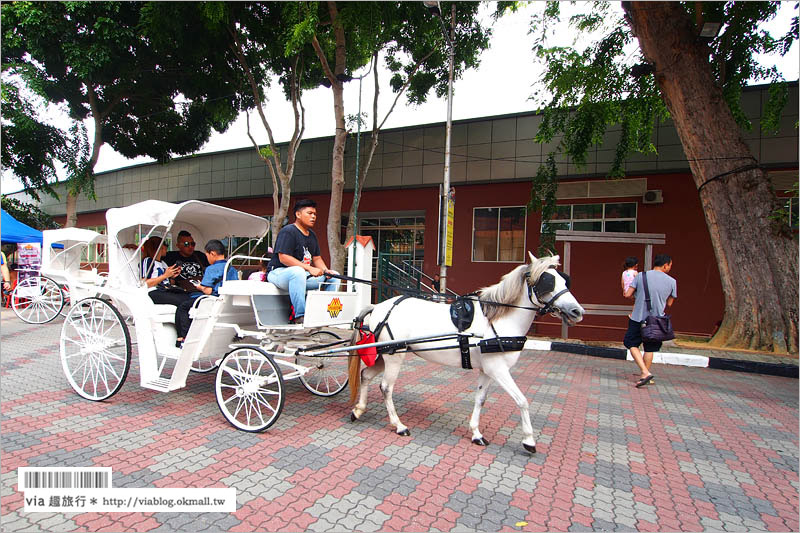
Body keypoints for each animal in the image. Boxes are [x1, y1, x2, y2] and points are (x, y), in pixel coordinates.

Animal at [346, 252, 584, 454]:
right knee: (386, 387)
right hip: (394, 357)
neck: (498, 320)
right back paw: (399, 425)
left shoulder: (488, 370)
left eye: (564, 281)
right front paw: (529, 440)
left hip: (384, 354)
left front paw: (476, 433)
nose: (577, 311)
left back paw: (358, 410)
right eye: (547, 282)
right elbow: (522, 400)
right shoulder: (499, 369)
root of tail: (379, 306)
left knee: (365, 375)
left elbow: (480, 399)